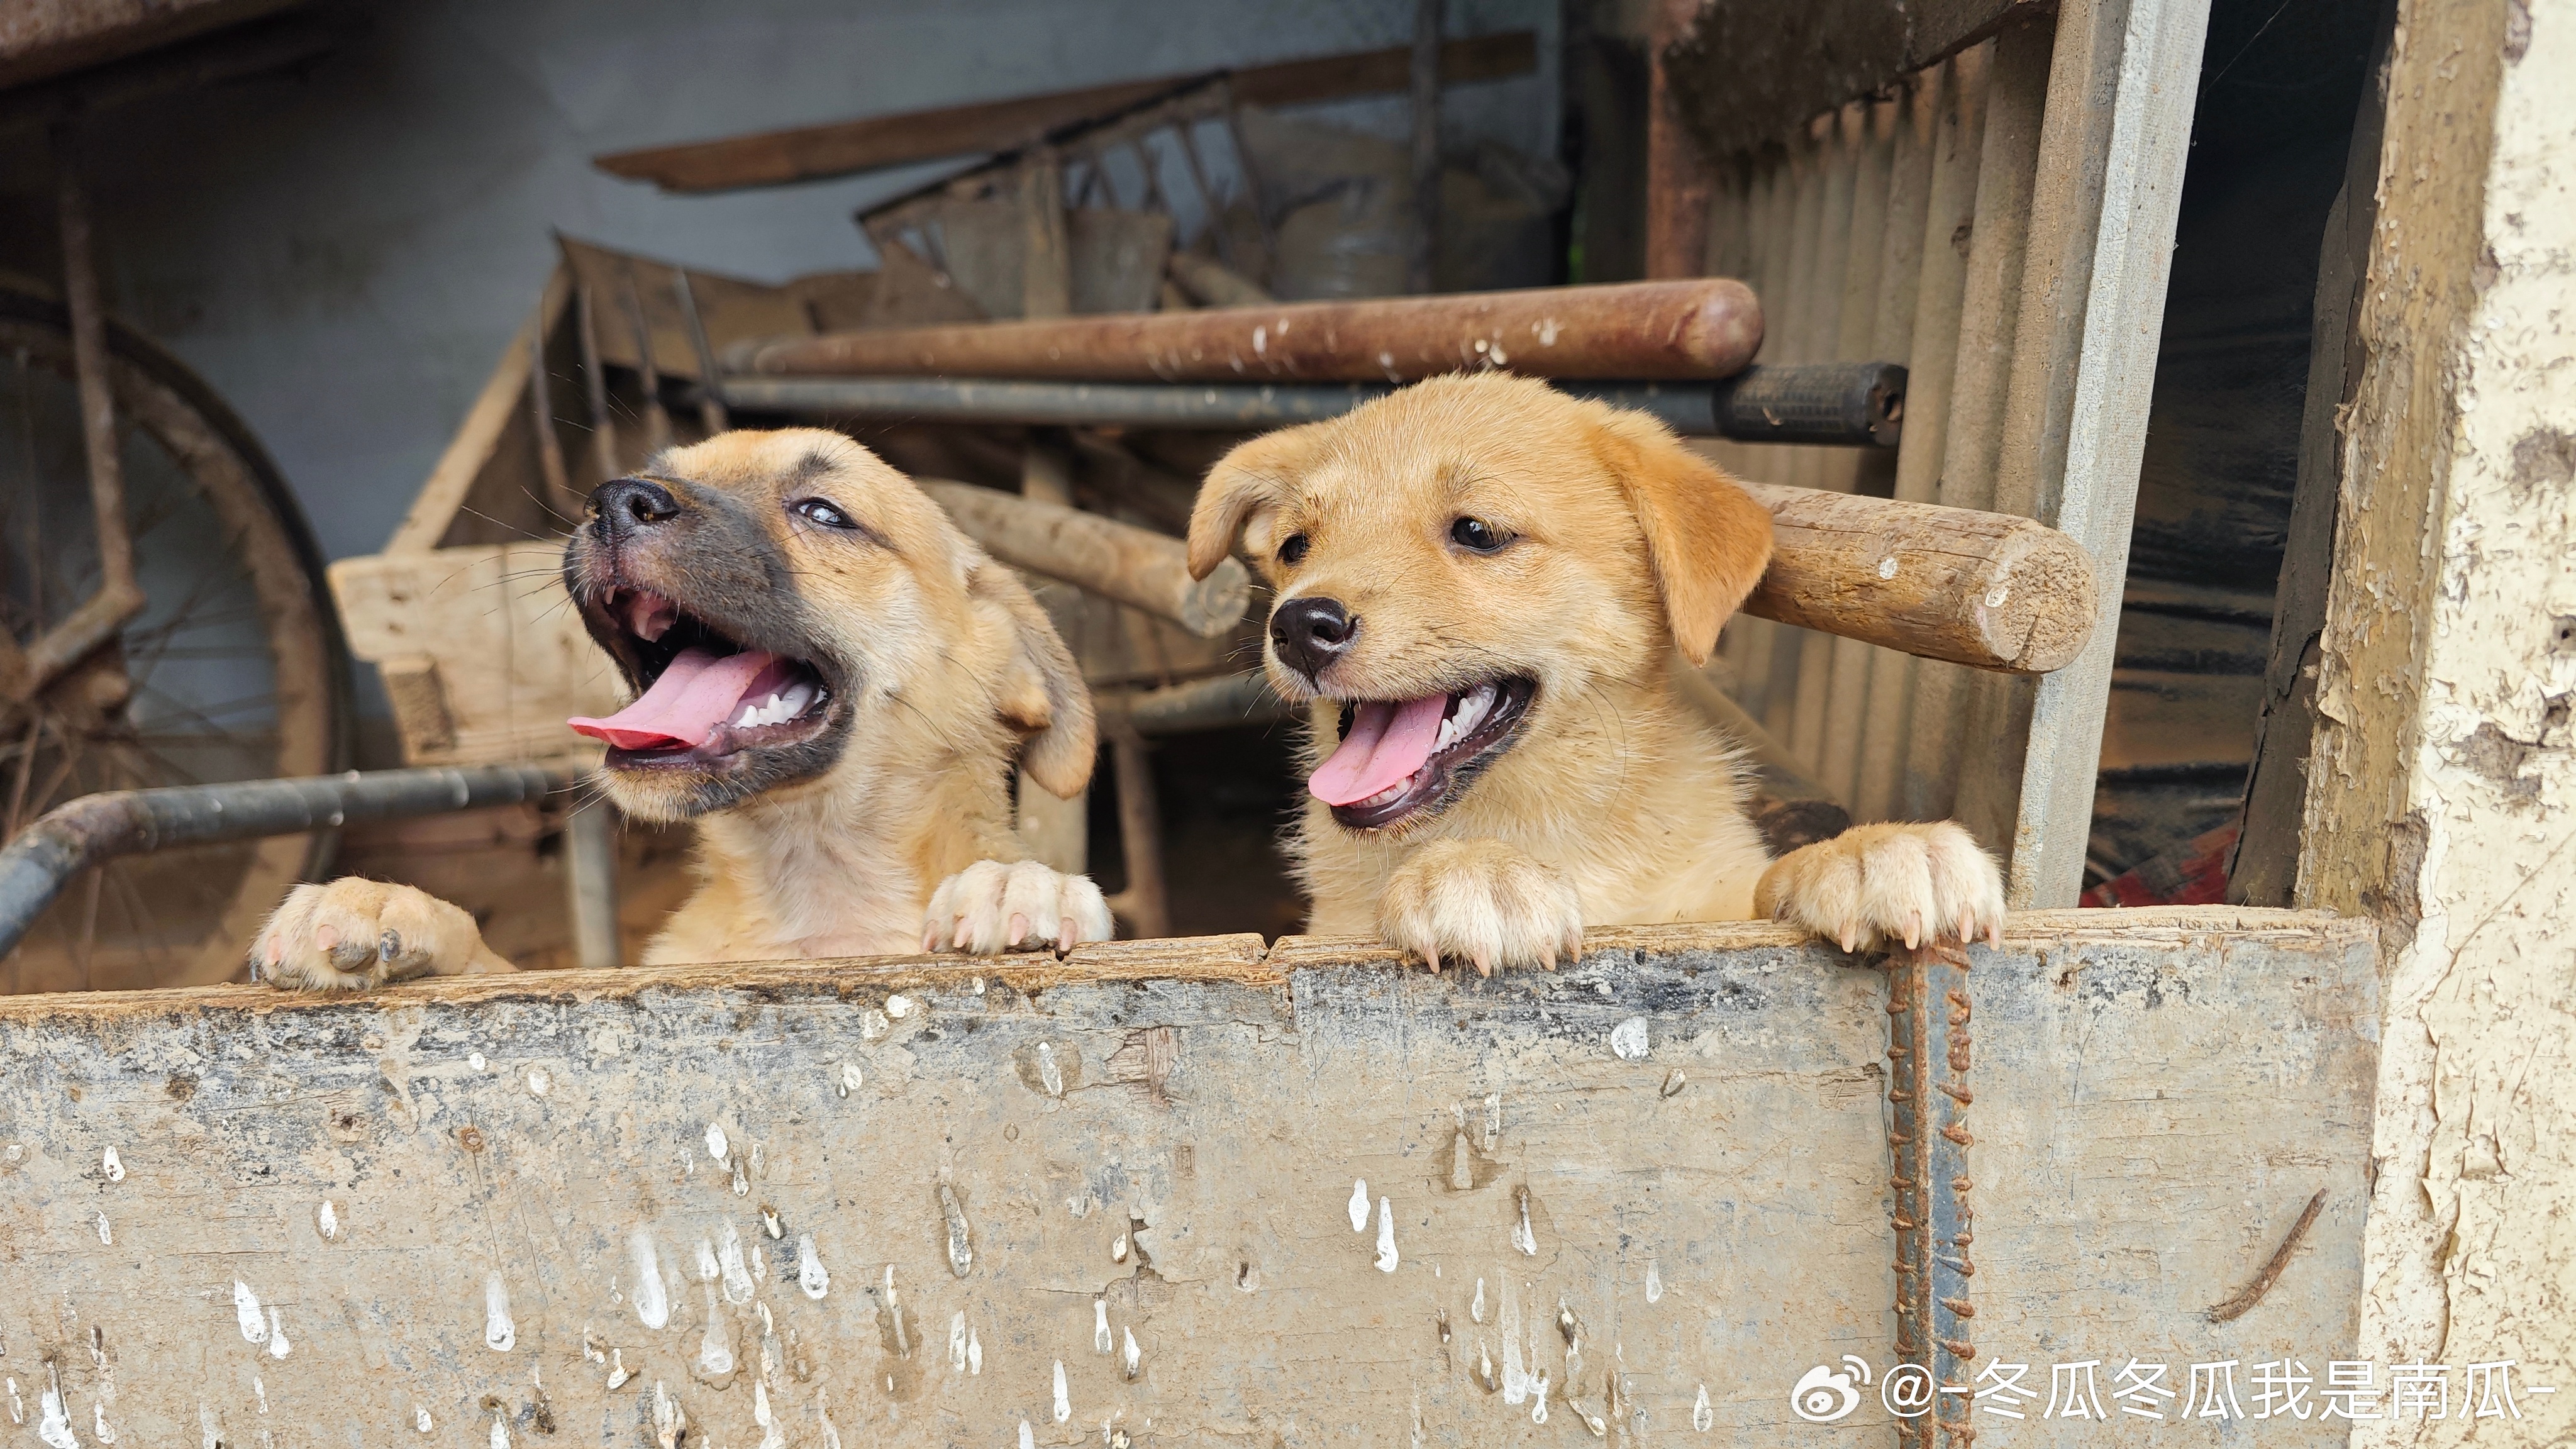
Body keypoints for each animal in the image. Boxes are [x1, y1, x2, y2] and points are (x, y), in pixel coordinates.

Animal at [248, 423, 1118, 985]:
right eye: (653, 472)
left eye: (823, 512)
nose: (611, 502)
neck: (812, 884)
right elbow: (499, 966)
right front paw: (384, 905)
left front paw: (1017, 885)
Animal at [1185, 371, 2009, 969]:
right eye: (1295, 546)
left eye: (1477, 532)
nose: (1298, 626)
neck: (1547, 824)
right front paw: (1476, 873)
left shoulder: (1710, 900)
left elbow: (1768, 882)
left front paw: (1875, 853)